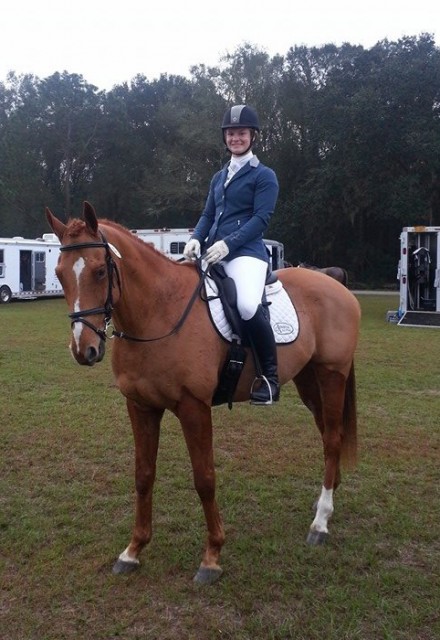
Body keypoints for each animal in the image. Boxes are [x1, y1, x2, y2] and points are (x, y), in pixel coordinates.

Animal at [46, 201, 360, 584]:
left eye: (99, 271)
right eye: (60, 274)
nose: (84, 350)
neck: (158, 312)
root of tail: (336, 285)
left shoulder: (193, 407)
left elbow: (205, 478)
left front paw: (212, 557)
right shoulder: (140, 406)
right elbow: (143, 475)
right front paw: (133, 550)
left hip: (332, 375)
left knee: (332, 439)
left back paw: (320, 523)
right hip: (308, 379)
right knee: (328, 433)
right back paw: (325, 504)